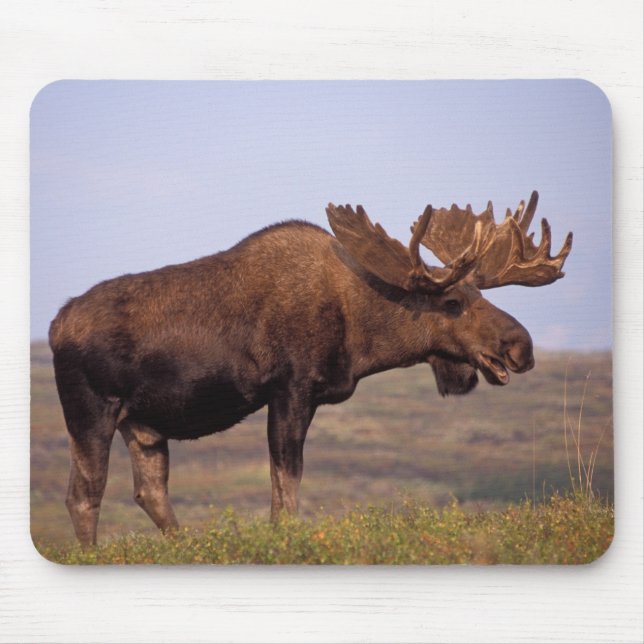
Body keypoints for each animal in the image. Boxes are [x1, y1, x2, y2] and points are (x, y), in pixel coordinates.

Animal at [49, 190, 572, 545]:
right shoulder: (291, 389)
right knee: (83, 495)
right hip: (91, 411)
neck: (360, 330)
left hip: (142, 425)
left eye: (480, 293)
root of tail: (56, 326)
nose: (521, 346)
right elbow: (287, 483)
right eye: (453, 301)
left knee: (149, 492)